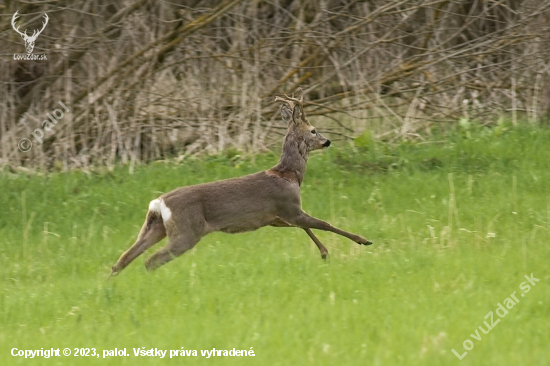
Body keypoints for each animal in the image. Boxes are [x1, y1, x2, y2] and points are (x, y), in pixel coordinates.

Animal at [110, 90, 374, 276]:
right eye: (313, 130)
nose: (327, 141)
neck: (289, 175)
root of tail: (159, 202)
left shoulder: (276, 217)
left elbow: (306, 228)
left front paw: (325, 253)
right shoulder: (289, 207)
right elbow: (324, 224)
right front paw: (363, 240)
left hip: (155, 226)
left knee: (124, 258)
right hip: (186, 230)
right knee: (151, 260)